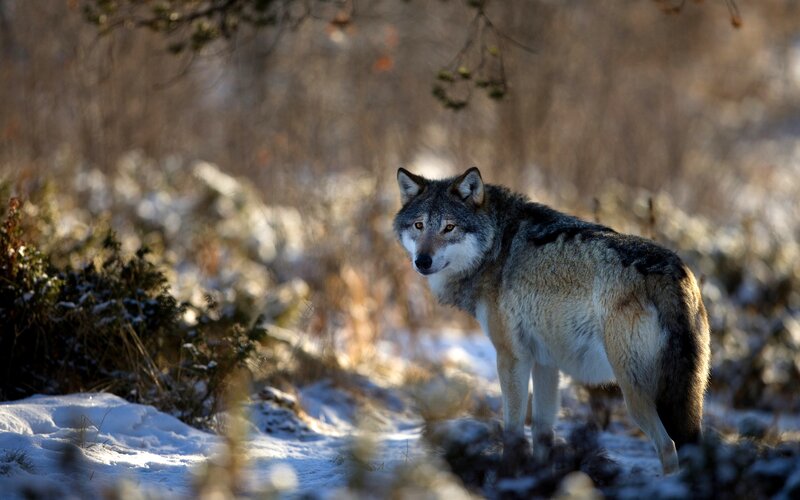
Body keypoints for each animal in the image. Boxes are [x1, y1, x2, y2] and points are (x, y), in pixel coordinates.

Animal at [393, 166, 710, 474]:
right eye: (419, 226)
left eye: (449, 228)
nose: (422, 261)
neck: (497, 245)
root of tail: (673, 273)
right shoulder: (546, 362)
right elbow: (543, 433)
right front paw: (539, 475)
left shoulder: (511, 358)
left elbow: (513, 431)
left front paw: (508, 475)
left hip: (634, 395)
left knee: (668, 447)